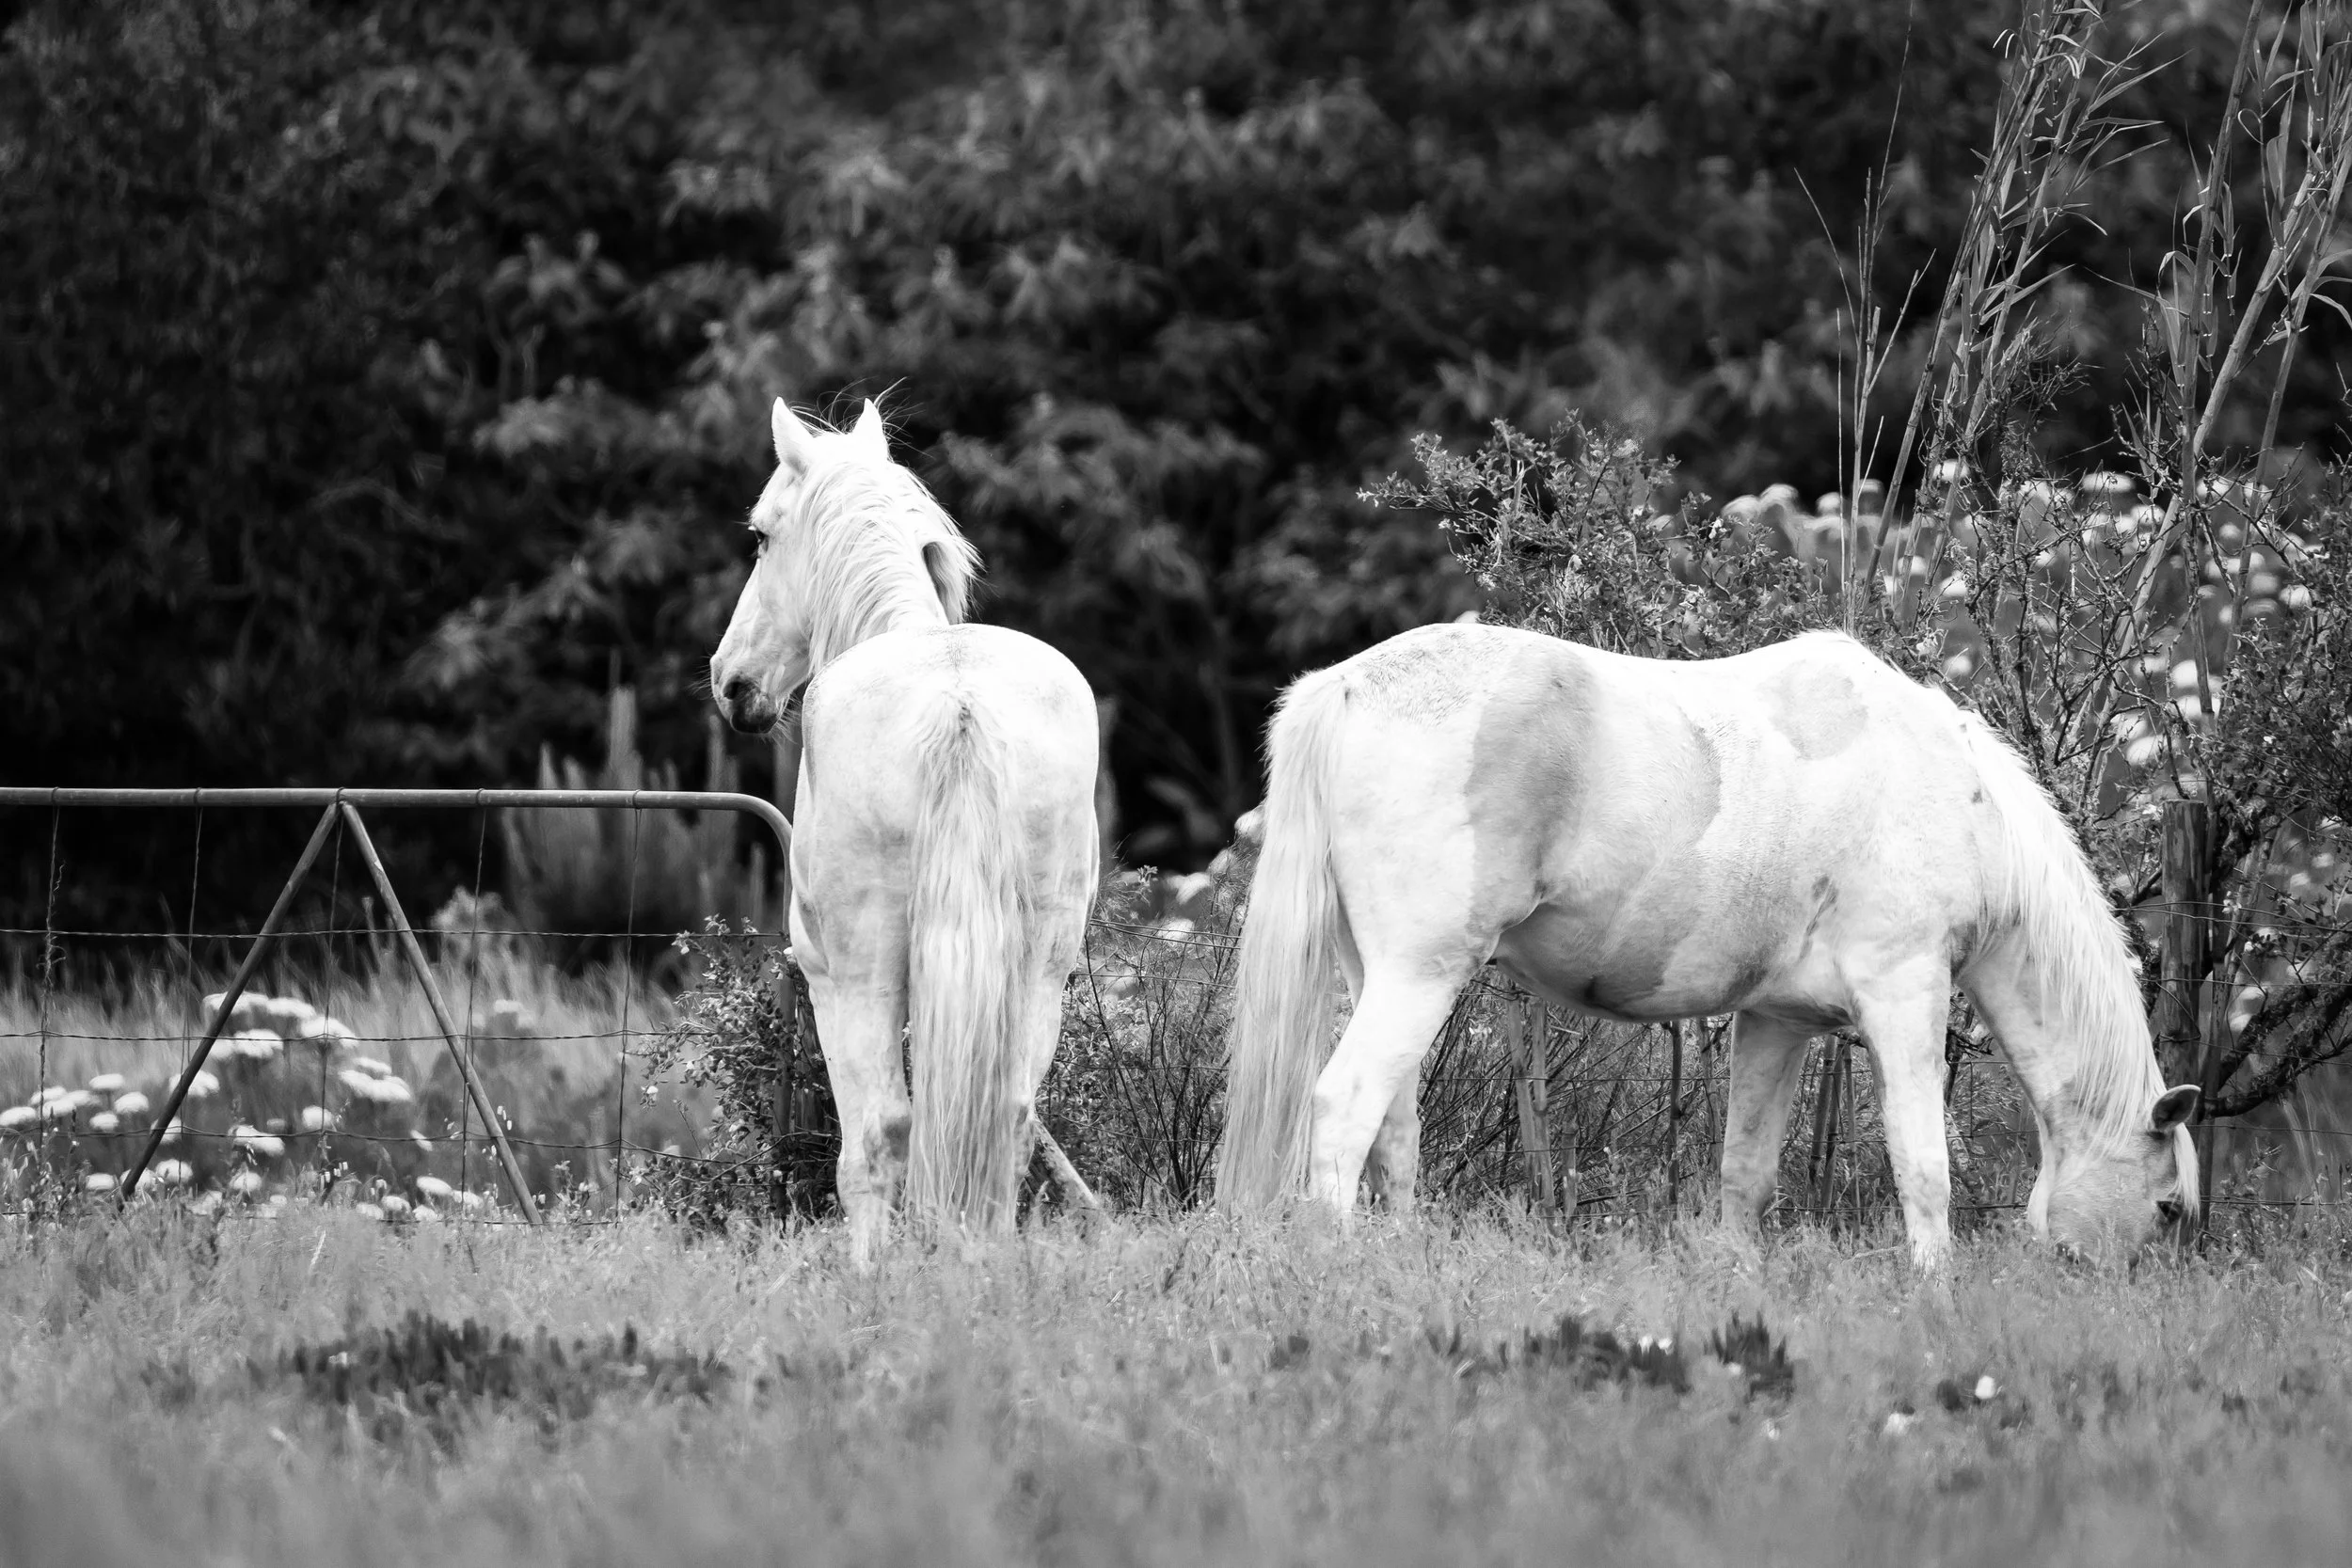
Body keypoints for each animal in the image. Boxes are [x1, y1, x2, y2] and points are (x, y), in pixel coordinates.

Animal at [710, 399, 1100, 1264]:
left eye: (760, 535)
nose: (731, 682)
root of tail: (959, 703)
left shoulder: (827, 974)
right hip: (1041, 967)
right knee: (1009, 1118)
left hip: (859, 975)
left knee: (881, 1133)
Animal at [1215, 622, 2200, 1268]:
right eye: (2166, 1207)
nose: (2103, 1291)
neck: (1952, 795)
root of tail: (1344, 688)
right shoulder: (1904, 991)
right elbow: (1925, 1169)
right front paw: (1935, 1299)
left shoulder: (1778, 1021)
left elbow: (1745, 1172)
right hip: (1421, 974)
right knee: (1346, 1106)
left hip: (1379, 974)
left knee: (1393, 1128)